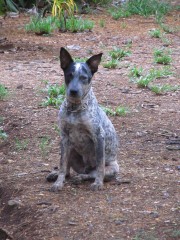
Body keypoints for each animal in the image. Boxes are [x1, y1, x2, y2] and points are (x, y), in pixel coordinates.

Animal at [48, 47, 119, 191]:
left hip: (113, 168)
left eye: (84, 78)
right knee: (68, 171)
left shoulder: (99, 136)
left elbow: (100, 166)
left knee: (92, 173)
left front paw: (98, 183)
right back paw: (58, 175)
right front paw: (58, 183)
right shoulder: (64, 137)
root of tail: (85, 169)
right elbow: (62, 165)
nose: (73, 91)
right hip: (70, 148)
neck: (75, 108)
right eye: (69, 75)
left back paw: (82, 178)